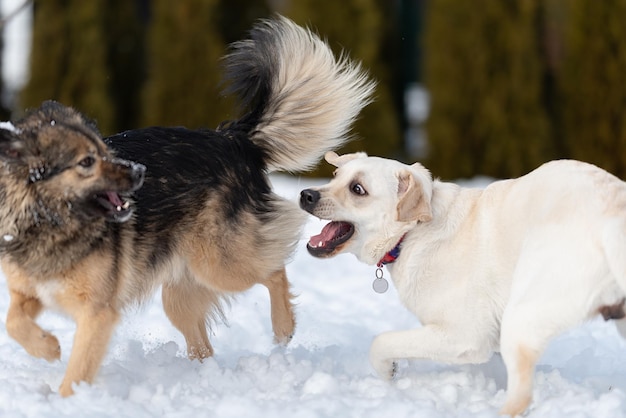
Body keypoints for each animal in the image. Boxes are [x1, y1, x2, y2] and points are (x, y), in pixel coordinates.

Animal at [0, 16, 372, 396]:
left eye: (104, 153)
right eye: (87, 161)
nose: (139, 172)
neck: (50, 223)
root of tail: (233, 139)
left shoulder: (98, 312)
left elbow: (77, 370)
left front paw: (68, 397)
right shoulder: (27, 291)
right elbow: (13, 322)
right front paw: (47, 347)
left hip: (220, 263)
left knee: (273, 271)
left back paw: (283, 327)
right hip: (181, 291)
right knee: (204, 346)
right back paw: (202, 378)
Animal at [296, 152, 624, 416]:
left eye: (358, 189)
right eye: (335, 176)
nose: (306, 194)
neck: (412, 233)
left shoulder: (465, 336)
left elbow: (381, 342)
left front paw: (389, 375)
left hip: (522, 318)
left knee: (521, 398)